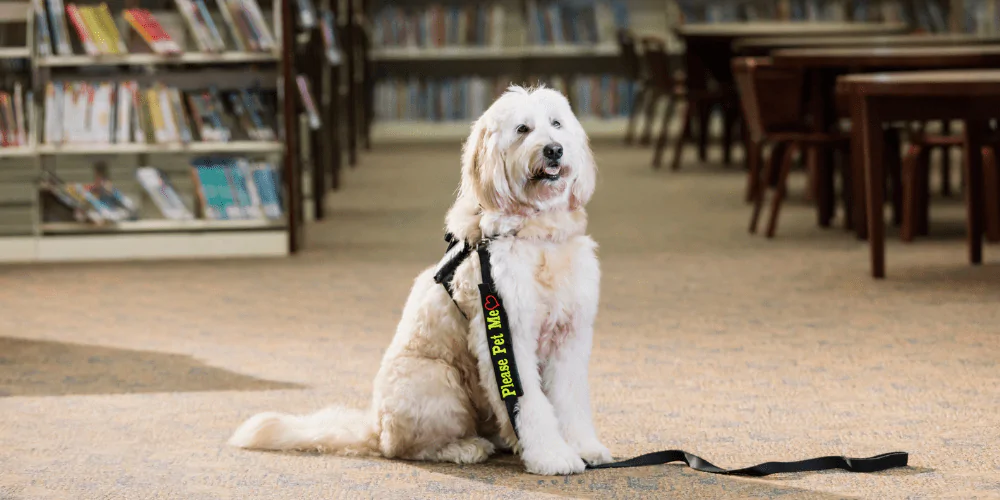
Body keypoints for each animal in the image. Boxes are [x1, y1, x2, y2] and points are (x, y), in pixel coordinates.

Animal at [232, 86, 608, 476]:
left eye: (556, 124)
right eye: (522, 129)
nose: (554, 150)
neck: (539, 234)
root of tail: (375, 427)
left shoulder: (570, 335)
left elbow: (570, 399)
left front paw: (583, 447)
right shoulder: (506, 334)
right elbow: (527, 403)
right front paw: (552, 456)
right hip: (437, 381)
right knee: (408, 448)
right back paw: (465, 448)